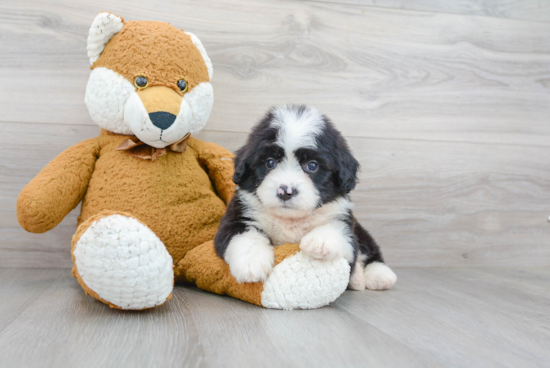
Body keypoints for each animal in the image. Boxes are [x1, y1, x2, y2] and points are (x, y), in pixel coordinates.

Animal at [215, 104, 396, 290]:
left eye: (312, 166)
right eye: (270, 162)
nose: (285, 191)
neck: (290, 220)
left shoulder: (343, 220)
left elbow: (341, 233)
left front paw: (321, 241)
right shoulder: (238, 215)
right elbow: (244, 235)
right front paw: (251, 262)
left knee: (369, 248)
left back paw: (379, 275)